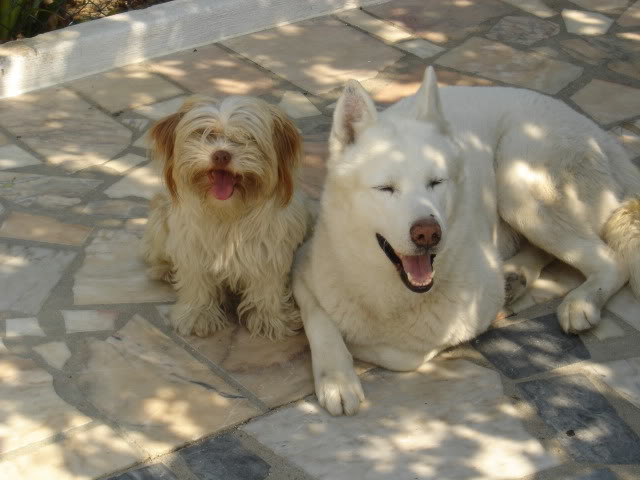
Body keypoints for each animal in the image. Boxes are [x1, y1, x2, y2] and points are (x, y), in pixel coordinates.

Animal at [142, 95, 310, 340]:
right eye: (206, 134)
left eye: (246, 138)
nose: (221, 154)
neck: (228, 215)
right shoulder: (192, 250)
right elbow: (197, 283)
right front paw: (198, 315)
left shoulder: (268, 251)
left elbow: (266, 286)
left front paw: (270, 318)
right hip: (159, 218)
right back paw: (163, 269)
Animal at [296, 65, 640, 414]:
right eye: (386, 189)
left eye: (436, 182)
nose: (428, 233)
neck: (388, 292)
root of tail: (603, 137)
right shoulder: (302, 270)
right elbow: (320, 321)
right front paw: (337, 378)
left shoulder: (467, 317)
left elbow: (398, 353)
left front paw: (355, 349)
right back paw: (517, 275)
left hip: (518, 185)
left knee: (613, 262)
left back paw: (580, 301)